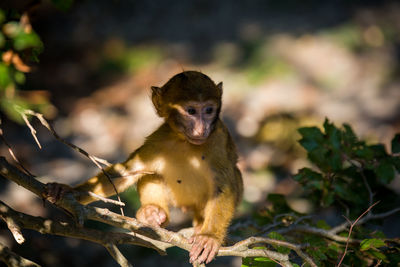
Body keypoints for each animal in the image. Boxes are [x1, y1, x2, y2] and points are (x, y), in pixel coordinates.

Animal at [45, 71, 242, 266]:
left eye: (209, 110)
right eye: (191, 111)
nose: (202, 129)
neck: (184, 141)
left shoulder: (218, 140)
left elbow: (224, 187)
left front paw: (209, 237)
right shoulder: (159, 139)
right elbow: (127, 171)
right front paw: (68, 190)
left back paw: (200, 226)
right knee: (150, 174)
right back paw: (152, 213)